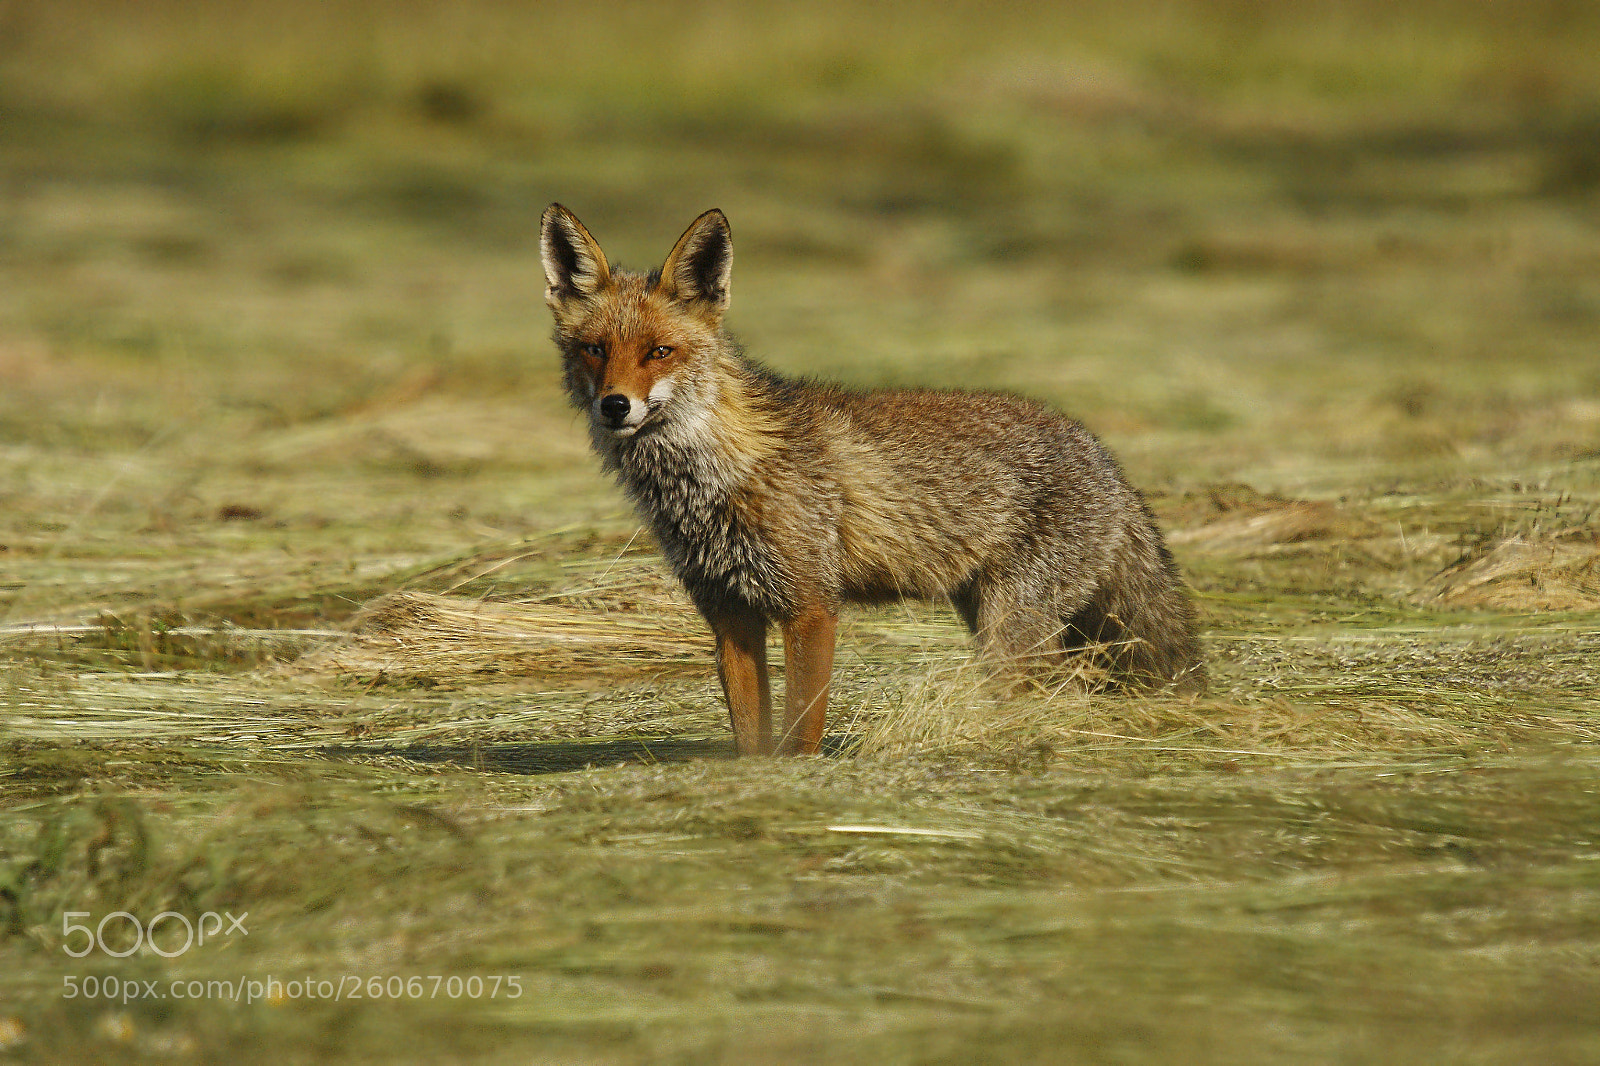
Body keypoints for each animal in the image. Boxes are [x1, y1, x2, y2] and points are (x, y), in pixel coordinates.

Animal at [540, 204, 1205, 756]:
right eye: (595, 349)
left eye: (659, 351)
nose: (615, 406)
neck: (714, 477)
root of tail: (1108, 458)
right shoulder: (729, 614)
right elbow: (751, 738)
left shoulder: (811, 604)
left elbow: (800, 732)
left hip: (1010, 629)